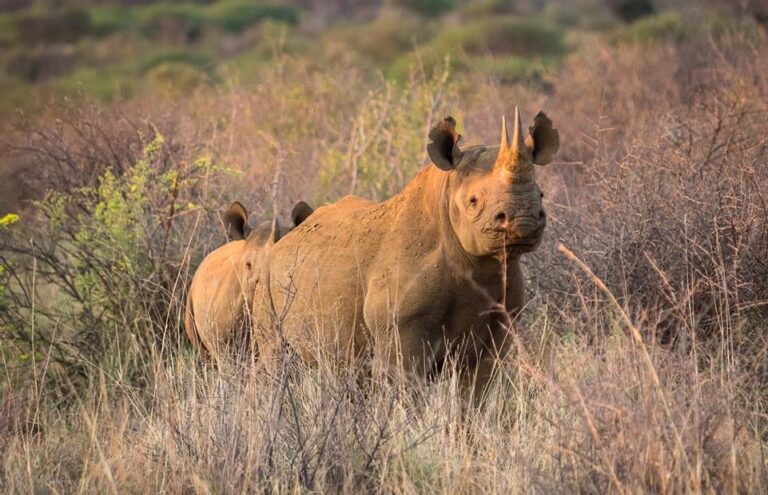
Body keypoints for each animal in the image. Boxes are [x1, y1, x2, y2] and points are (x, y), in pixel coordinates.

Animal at [253, 108, 558, 403]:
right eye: (473, 202)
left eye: (542, 195)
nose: (524, 219)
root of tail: (285, 239)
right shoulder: (400, 326)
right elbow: (402, 388)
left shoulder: (500, 324)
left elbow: (476, 394)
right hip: (266, 278)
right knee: (275, 357)